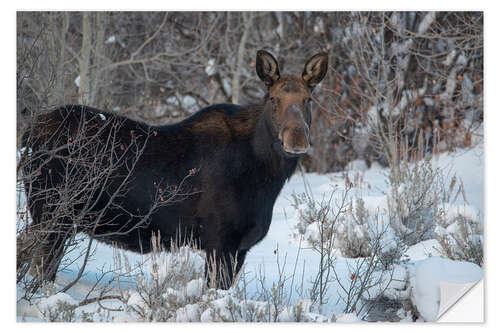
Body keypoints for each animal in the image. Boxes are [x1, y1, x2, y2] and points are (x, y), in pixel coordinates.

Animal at [19, 49, 328, 288]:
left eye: (309, 100)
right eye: (273, 100)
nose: (297, 138)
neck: (266, 179)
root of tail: (31, 131)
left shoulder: (238, 248)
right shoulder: (220, 241)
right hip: (51, 213)